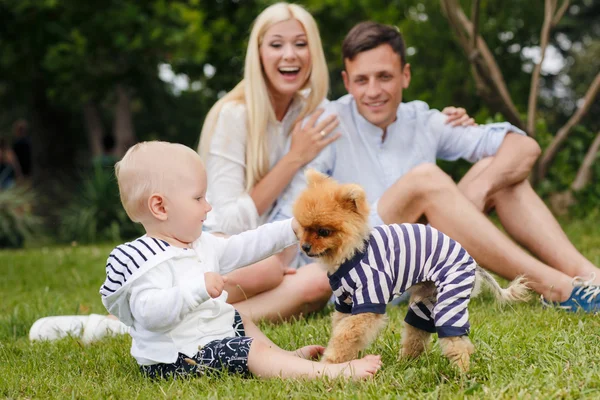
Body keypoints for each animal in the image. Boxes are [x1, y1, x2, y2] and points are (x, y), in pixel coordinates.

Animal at [292, 169, 528, 372]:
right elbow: (341, 330)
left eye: (323, 231)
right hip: (426, 301)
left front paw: (329, 364)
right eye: (302, 229)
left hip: (450, 297)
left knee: (455, 338)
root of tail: (472, 261)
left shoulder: (369, 300)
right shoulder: (345, 303)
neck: (353, 252)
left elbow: (345, 336)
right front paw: (344, 362)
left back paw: (461, 372)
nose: (305, 247)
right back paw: (406, 363)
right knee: (419, 330)